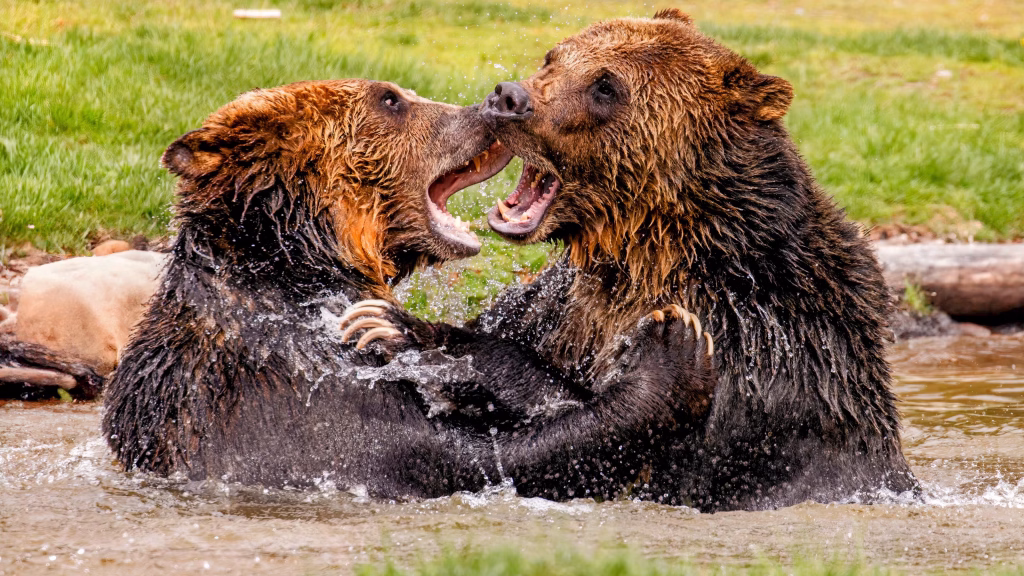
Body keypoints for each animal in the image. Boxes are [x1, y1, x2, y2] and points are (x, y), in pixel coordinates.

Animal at [101, 79, 718, 501]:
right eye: (391, 98)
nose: (492, 103)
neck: (297, 270)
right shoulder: (298, 403)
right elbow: (492, 459)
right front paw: (673, 350)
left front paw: (403, 329)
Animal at [353, 10, 918, 511]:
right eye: (553, 55)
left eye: (606, 87)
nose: (508, 98)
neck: (652, 255)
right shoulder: (564, 306)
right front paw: (399, 326)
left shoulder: (763, 350)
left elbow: (607, 438)